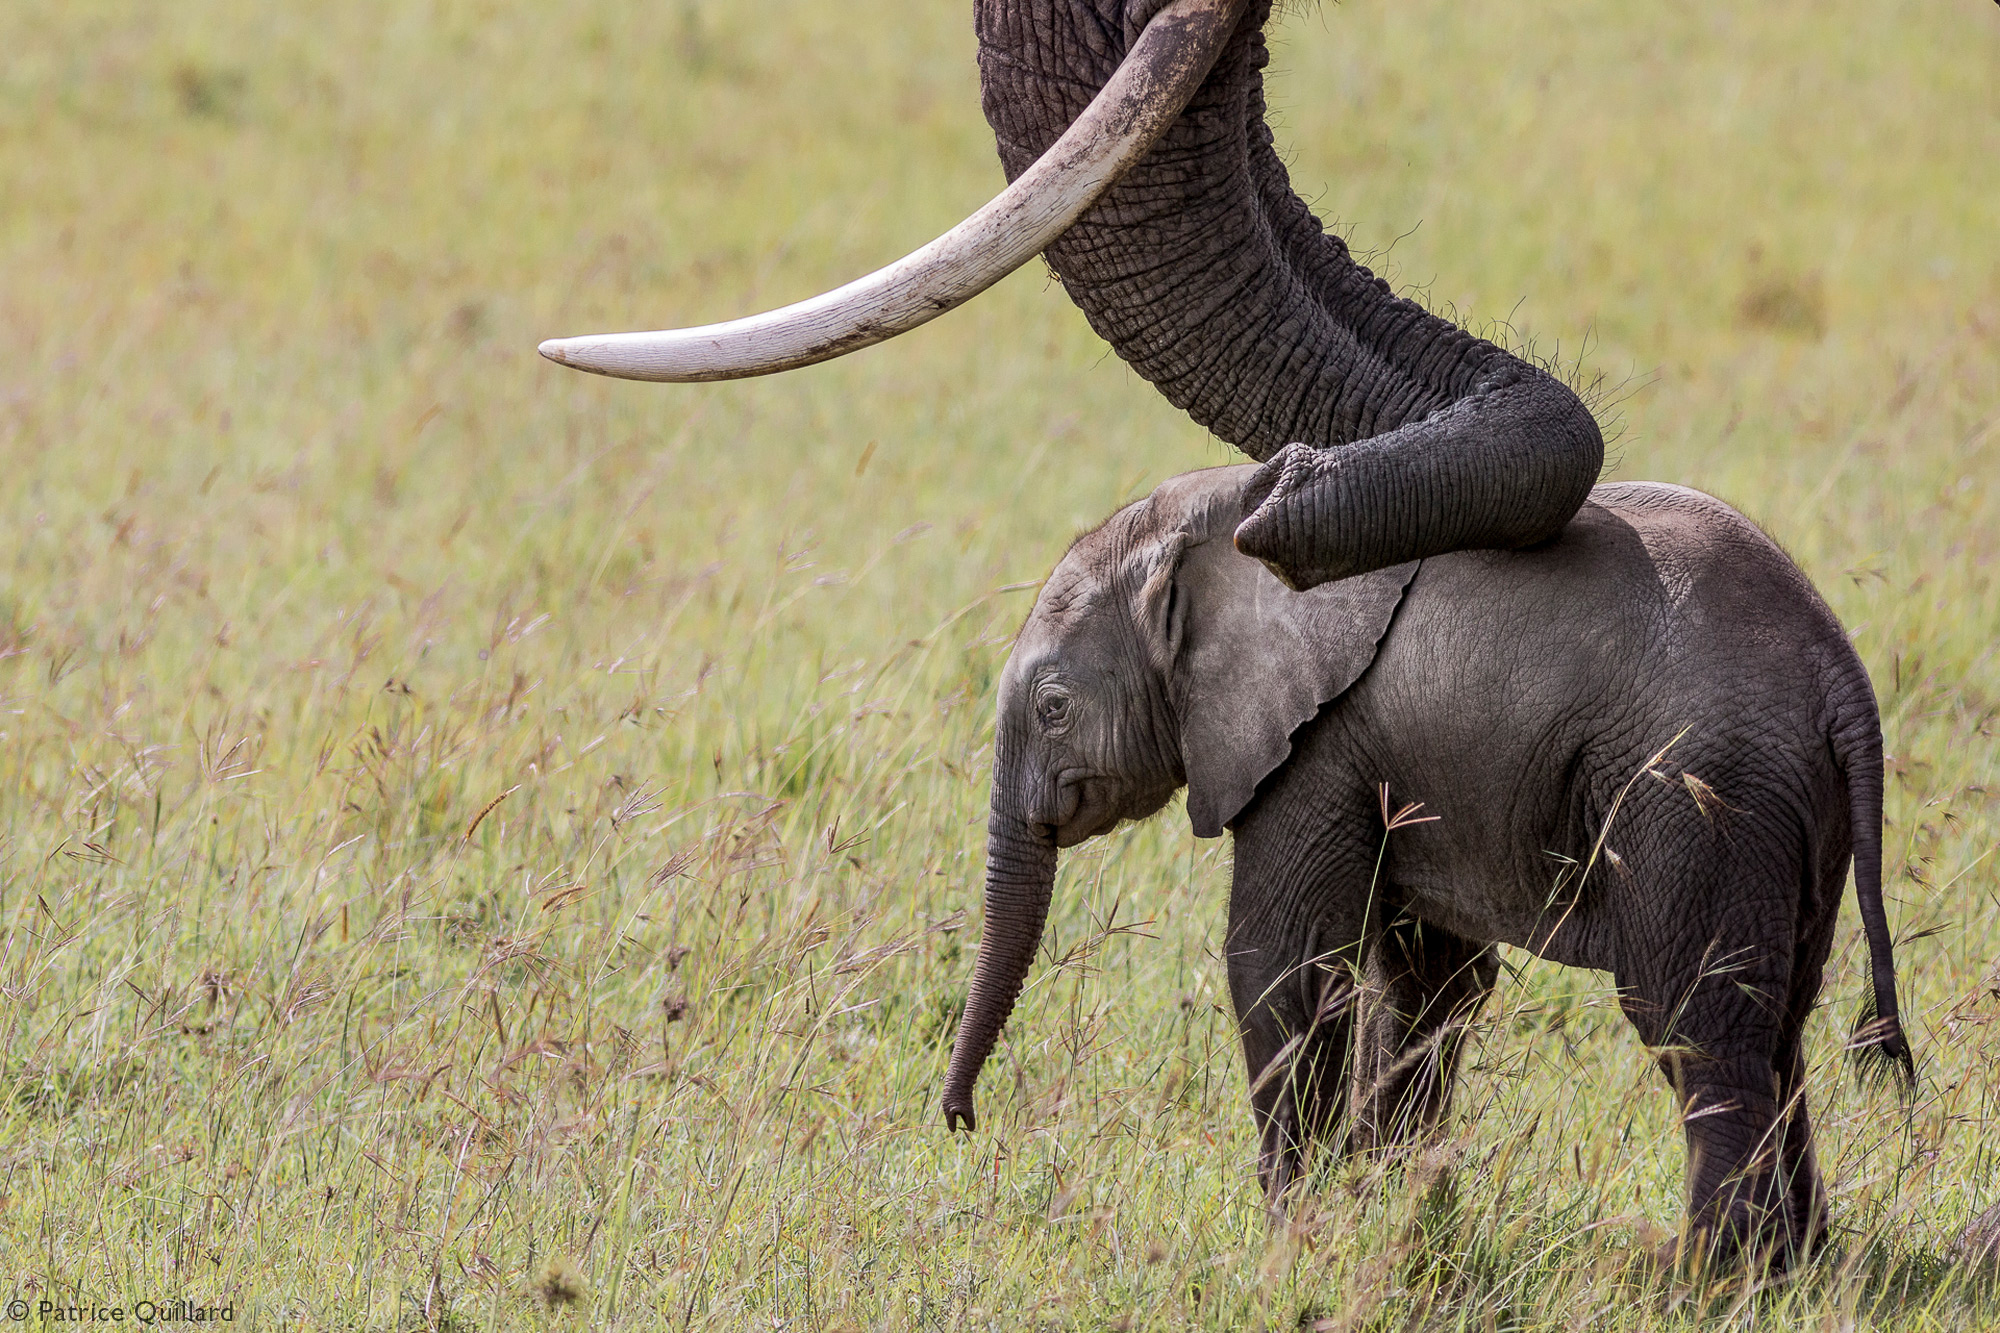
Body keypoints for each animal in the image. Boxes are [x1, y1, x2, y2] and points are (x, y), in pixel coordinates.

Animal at [944, 466, 1912, 1264]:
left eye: (1054, 706)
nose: (961, 1123)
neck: (1212, 514)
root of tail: (1840, 678)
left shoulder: (1317, 743)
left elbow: (1283, 966)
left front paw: (1295, 1238)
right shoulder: (1399, 759)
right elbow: (1425, 982)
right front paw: (1382, 1218)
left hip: (1698, 795)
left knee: (1695, 1025)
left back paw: (1708, 1282)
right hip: (1786, 810)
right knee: (1778, 1025)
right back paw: (1798, 1268)